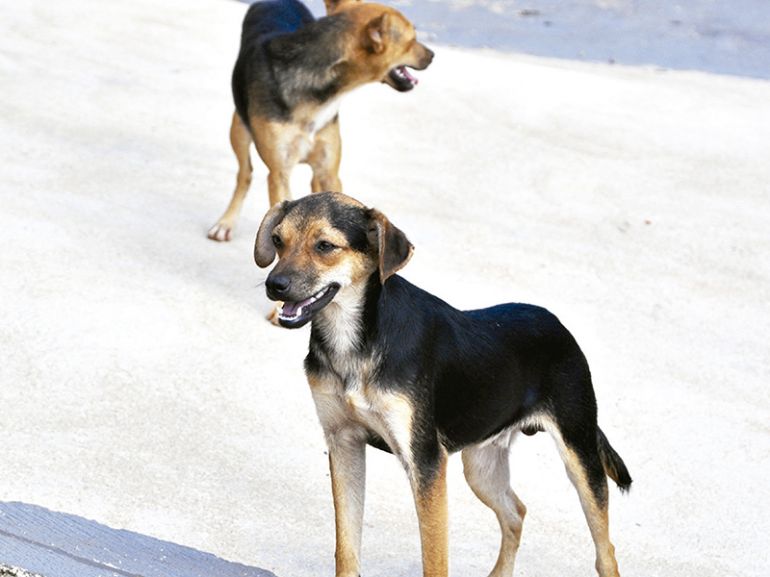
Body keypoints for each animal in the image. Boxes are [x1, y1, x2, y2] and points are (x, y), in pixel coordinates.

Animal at [207, 0, 436, 240]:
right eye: (412, 40)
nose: (432, 55)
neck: (318, 98)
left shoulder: (329, 173)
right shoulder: (279, 174)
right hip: (239, 130)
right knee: (245, 174)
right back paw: (226, 222)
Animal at [252, 192, 632, 576]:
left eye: (326, 246)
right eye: (278, 240)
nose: (274, 285)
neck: (355, 343)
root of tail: (559, 324)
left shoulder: (427, 463)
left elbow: (434, 560)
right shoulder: (344, 442)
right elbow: (346, 548)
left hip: (579, 454)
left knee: (605, 550)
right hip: (481, 464)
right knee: (516, 512)